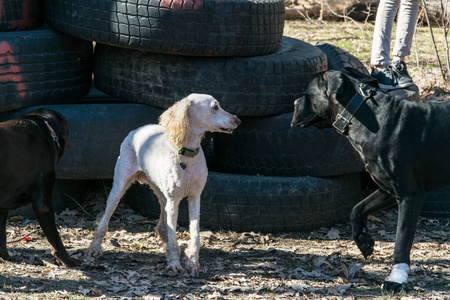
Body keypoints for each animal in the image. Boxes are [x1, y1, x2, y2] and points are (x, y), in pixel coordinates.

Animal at [0, 108, 78, 268]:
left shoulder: (2, 208)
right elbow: (55, 239)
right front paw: (67, 260)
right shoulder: (43, 204)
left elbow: (1, 237)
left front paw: (6, 257)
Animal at [84, 94, 239, 276]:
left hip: (161, 193)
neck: (187, 156)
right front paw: (174, 263)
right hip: (119, 187)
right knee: (106, 219)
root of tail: (136, 130)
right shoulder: (174, 200)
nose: (238, 120)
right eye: (214, 107)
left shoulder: (195, 197)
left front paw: (192, 262)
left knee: (162, 226)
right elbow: (173, 235)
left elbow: (195, 234)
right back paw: (94, 248)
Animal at [290, 69, 448, 290]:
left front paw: (397, 277)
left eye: (307, 93)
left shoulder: (410, 194)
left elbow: (401, 239)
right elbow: (357, 208)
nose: (294, 103)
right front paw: (363, 239)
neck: (358, 115)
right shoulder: (388, 189)